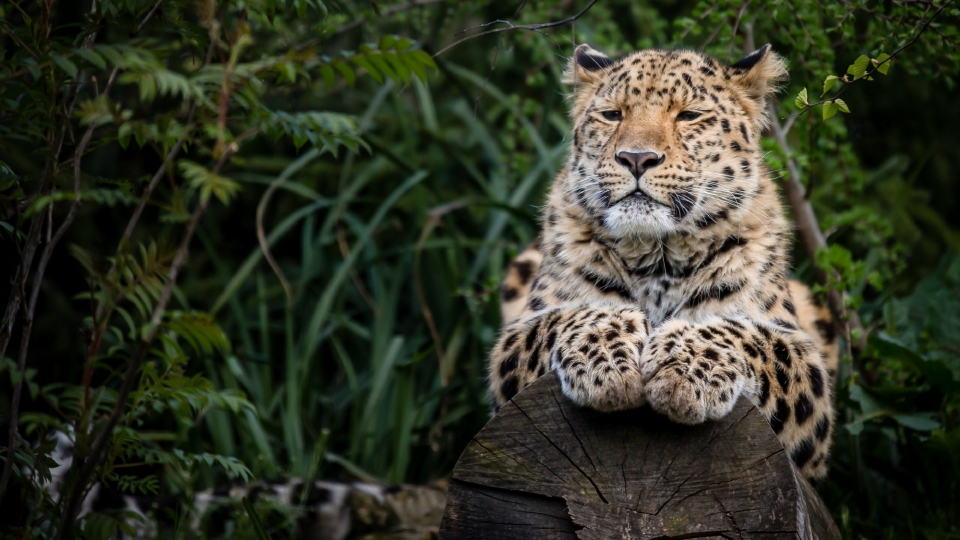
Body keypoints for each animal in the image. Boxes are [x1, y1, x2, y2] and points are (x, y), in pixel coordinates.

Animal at [488, 44, 840, 478]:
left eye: (688, 115)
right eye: (613, 114)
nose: (637, 158)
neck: (658, 258)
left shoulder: (806, 371)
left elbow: (742, 332)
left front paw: (683, 373)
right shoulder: (514, 341)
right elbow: (575, 314)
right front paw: (607, 363)